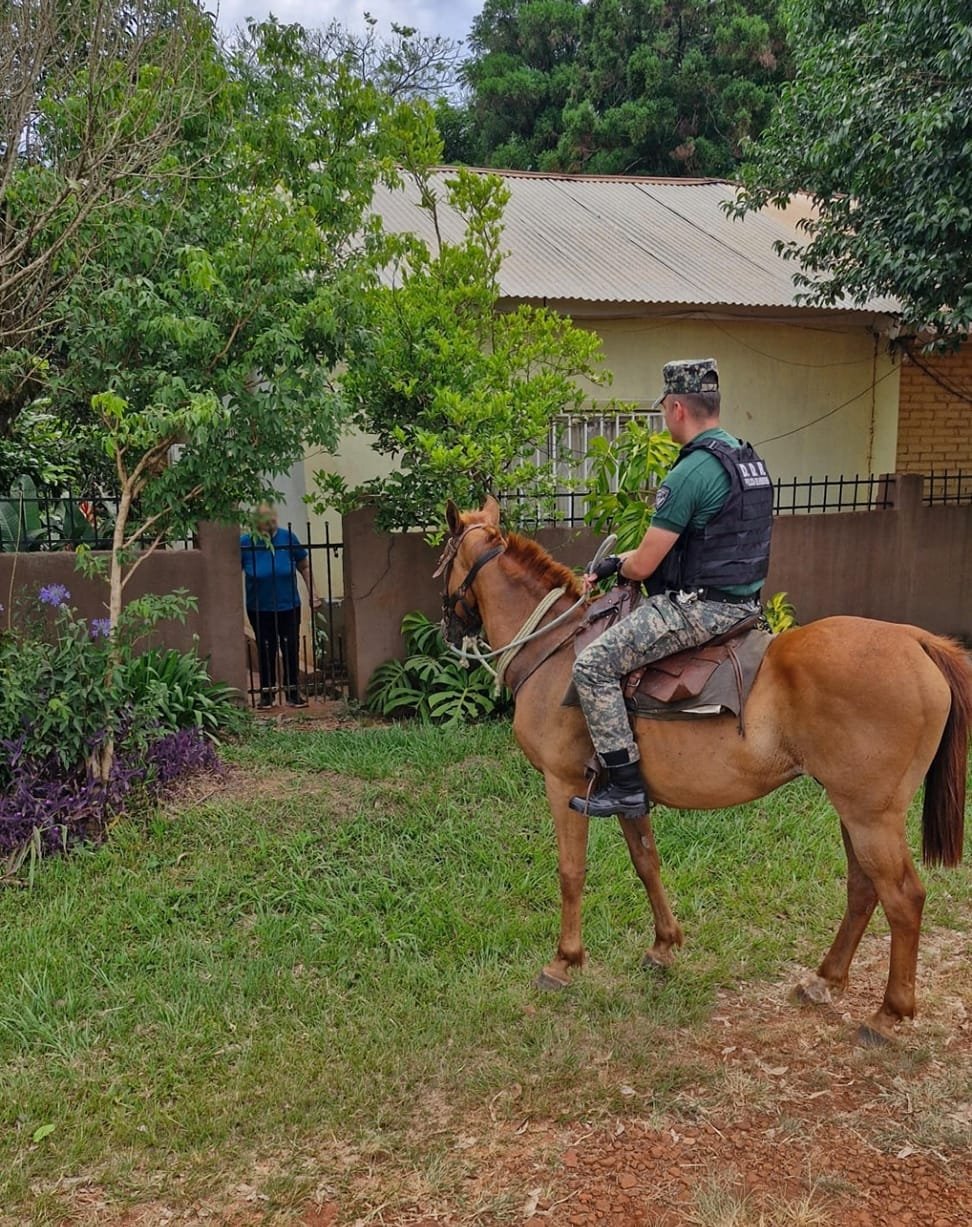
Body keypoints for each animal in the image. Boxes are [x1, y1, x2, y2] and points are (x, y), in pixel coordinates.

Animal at [439, 495, 972, 1045]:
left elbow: (571, 871)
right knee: (864, 888)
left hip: (872, 816)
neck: (559, 649)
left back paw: (889, 1014)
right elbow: (647, 862)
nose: (447, 628)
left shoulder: (561, 783)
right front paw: (665, 945)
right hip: (854, 810)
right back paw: (825, 980)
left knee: (904, 898)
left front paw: (564, 962)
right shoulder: (624, 790)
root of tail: (916, 641)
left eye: (443, 557)